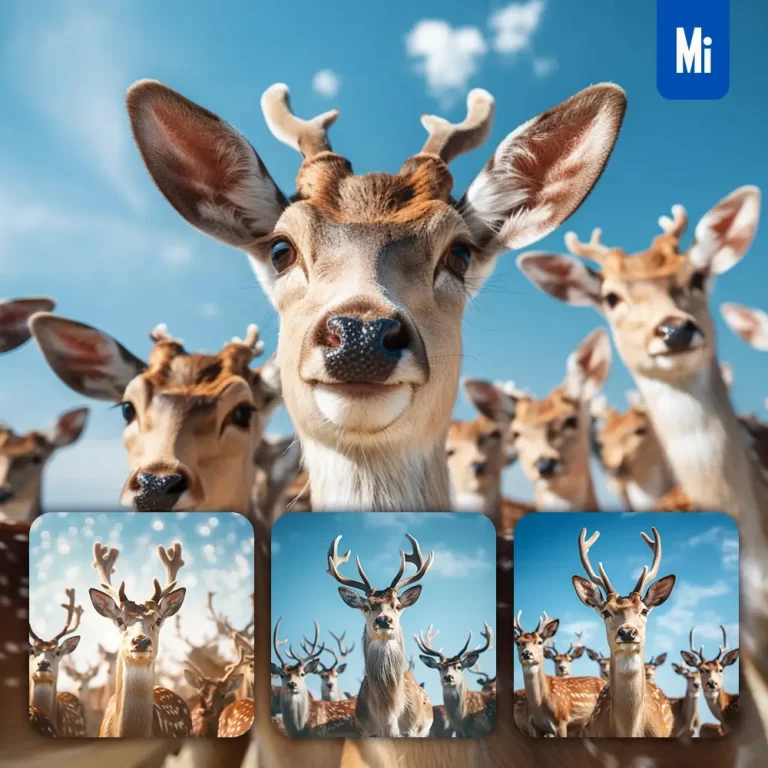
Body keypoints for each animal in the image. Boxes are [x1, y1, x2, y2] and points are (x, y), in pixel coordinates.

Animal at [327, 533, 435, 736]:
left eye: (398, 606)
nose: (384, 620)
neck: (388, 716)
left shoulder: (412, 731)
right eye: (365, 606)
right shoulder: (365, 731)